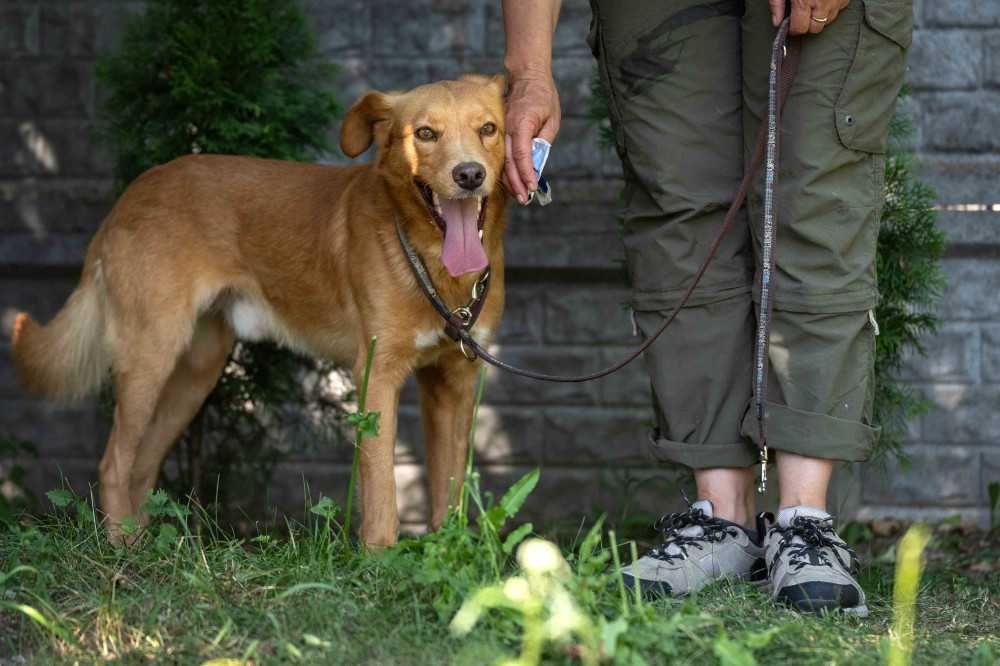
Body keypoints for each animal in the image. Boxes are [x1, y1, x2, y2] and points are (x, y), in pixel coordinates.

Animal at [7, 76, 508, 544]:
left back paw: (148, 546)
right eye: (425, 133)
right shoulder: (378, 374)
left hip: (195, 373)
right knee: (114, 461)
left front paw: (449, 548)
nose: (469, 175)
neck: (434, 265)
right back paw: (122, 549)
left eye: (488, 129)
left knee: (141, 464)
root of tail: (131, 194)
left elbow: (450, 488)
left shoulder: (452, 381)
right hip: (150, 355)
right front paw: (380, 558)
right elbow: (382, 489)